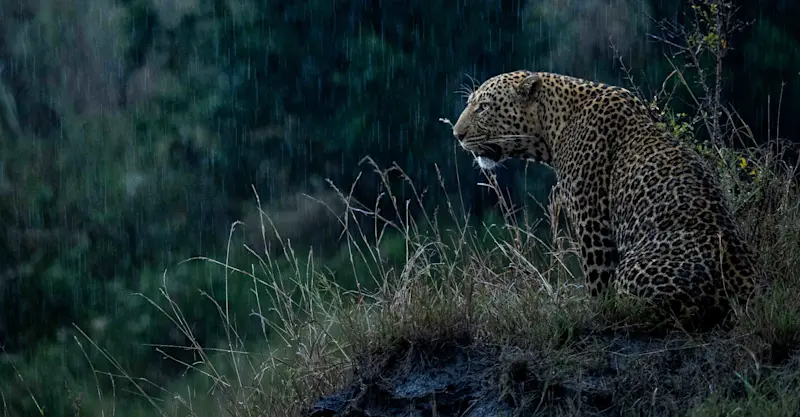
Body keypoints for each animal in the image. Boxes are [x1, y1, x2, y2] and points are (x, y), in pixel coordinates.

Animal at [451, 70, 766, 328]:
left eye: (483, 107)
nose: (457, 134)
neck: (552, 126)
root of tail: (747, 280)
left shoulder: (593, 223)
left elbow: (597, 280)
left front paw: (597, 314)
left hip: (633, 272)